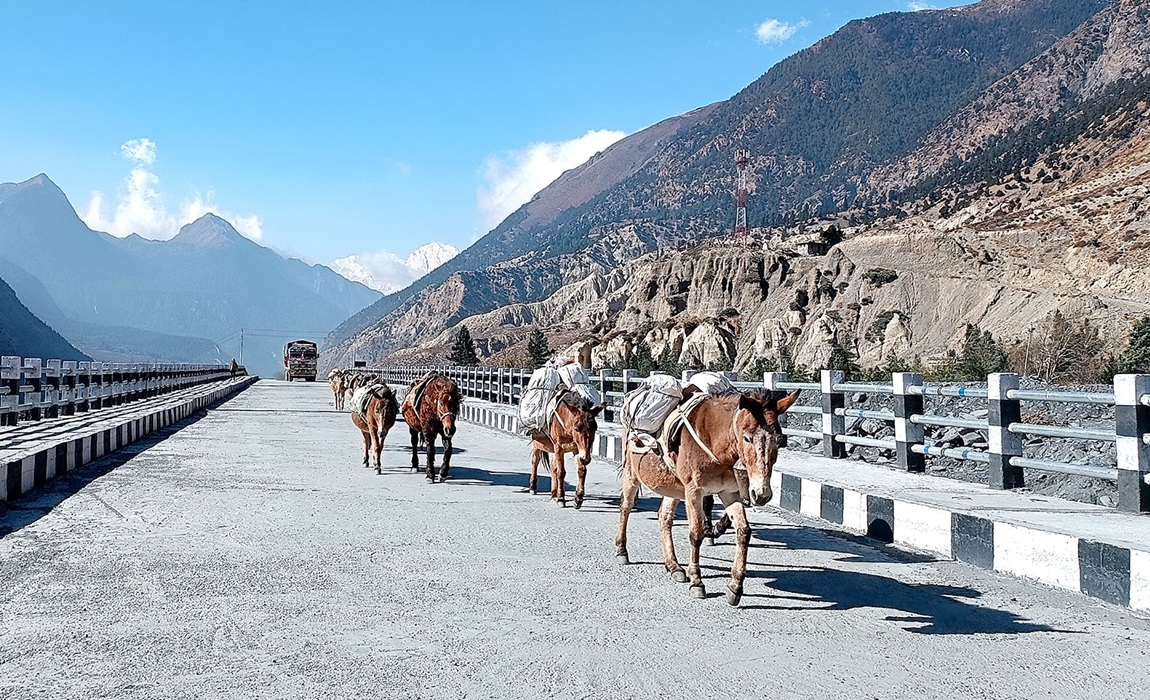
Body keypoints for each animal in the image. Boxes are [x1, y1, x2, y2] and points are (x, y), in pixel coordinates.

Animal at [616, 390, 795, 602]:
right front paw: (697, 582)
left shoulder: (729, 493)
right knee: (625, 508)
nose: (761, 494)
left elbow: (743, 531)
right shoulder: (694, 491)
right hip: (632, 475)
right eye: (747, 438)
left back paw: (673, 566)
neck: (715, 441)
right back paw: (622, 551)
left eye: (779, 440)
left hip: (673, 487)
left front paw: (735, 586)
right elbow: (696, 534)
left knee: (664, 517)